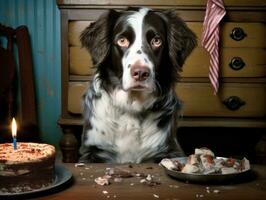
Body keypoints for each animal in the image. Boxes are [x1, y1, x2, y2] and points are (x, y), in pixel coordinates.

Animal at [78, 7, 195, 163]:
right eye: (122, 41)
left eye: (156, 41)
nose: (140, 73)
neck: (132, 106)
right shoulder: (92, 151)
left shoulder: (169, 151)